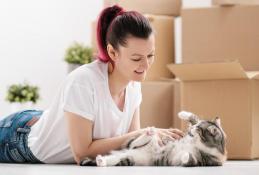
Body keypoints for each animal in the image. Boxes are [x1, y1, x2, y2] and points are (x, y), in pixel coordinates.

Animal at [79, 110, 228, 167]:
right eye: (196, 126)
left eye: (198, 130)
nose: (190, 130)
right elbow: (193, 116)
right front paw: (182, 114)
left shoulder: (204, 161)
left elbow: (190, 159)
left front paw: (186, 154)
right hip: (143, 144)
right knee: (135, 142)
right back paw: (150, 131)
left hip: (129, 159)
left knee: (114, 160)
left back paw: (101, 160)